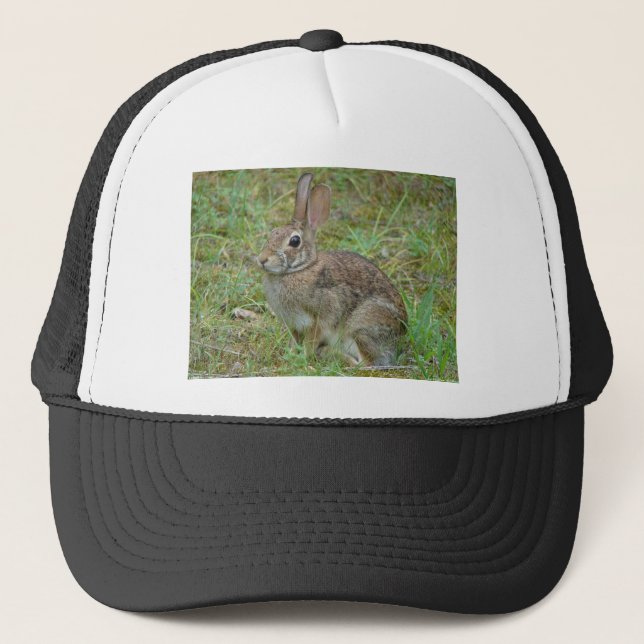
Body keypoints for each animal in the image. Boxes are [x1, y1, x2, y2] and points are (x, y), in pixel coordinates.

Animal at [256, 172, 407, 367]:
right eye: (273, 232)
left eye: (295, 241)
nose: (262, 259)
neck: (299, 269)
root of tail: (400, 338)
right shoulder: (293, 325)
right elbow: (294, 340)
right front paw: (289, 353)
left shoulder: (320, 318)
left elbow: (310, 341)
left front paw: (301, 358)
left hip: (360, 328)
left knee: (364, 363)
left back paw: (329, 353)